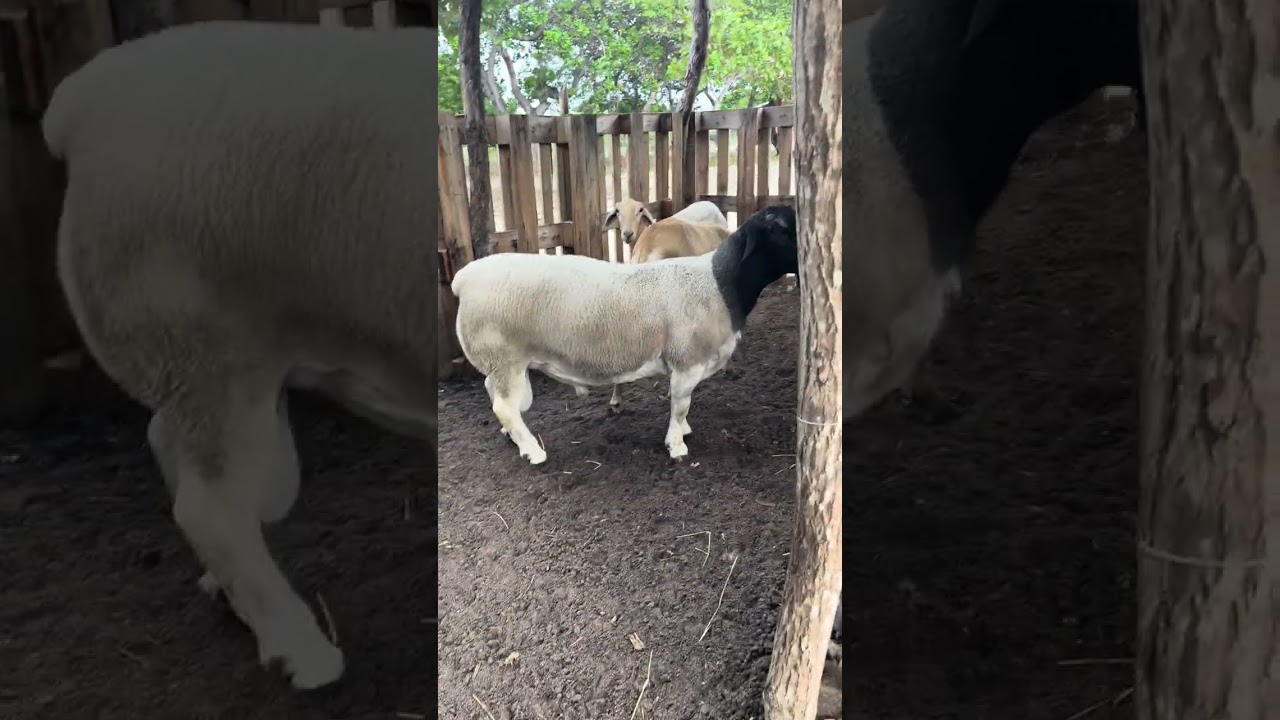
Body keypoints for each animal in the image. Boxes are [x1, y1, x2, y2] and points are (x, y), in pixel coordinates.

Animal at [42, 21, 437, 690]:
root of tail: (86, 94)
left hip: (201, 364)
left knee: (176, 451)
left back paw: (232, 597)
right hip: (201, 346)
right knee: (209, 512)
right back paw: (299, 648)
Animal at [451, 205, 798, 464]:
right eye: (783, 229)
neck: (721, 284)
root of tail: (464, 278)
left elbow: (684, 406)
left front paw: (683, 432)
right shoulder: (686, 361)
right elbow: (680, 404)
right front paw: (677, 446)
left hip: (500, 361)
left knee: (495, 394)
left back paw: (512, 437)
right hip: (504, 358)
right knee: (504, 407)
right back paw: (533, 452)